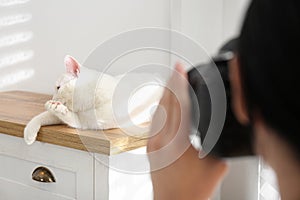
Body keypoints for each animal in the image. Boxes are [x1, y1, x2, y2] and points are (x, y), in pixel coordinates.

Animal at [24, 55, 163, 145]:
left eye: (58, 87)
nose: (53, 98)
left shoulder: (88, 122)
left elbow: (68, 117)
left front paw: (55, 106)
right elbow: (42, 116)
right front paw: (29, 133)